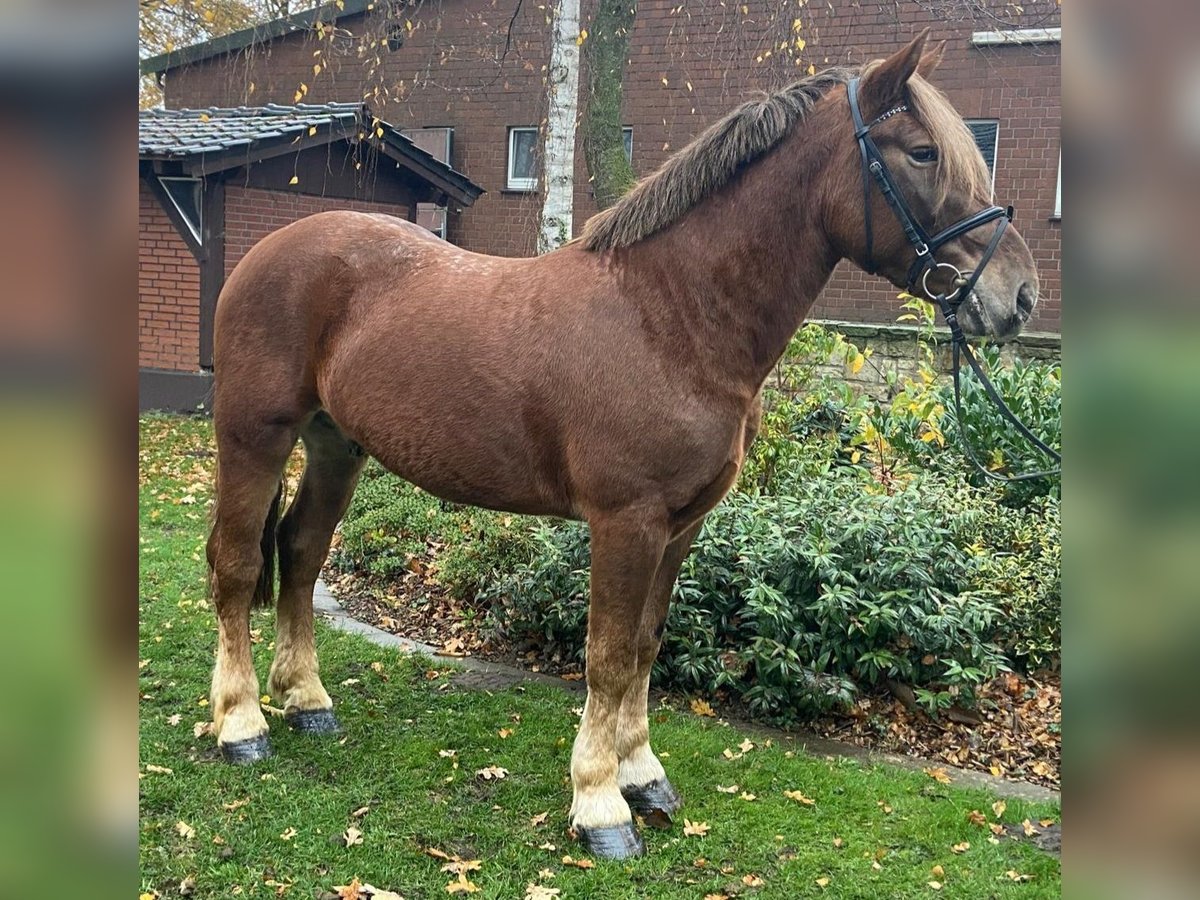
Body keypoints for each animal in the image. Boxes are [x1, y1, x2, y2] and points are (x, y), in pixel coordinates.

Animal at [204, 31, 1039, 859]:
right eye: (923, 152)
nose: (1019, 295)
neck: (669, 318)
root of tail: (274, 247)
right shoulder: (626, 522)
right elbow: (605, 658)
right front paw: (601, 806)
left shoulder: (682, 526)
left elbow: (643, 645)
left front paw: (644, 777)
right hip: (254, 437)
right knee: (239, 566)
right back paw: (241, 725)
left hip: (337, 445)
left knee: (301, 551)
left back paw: (307, 700)